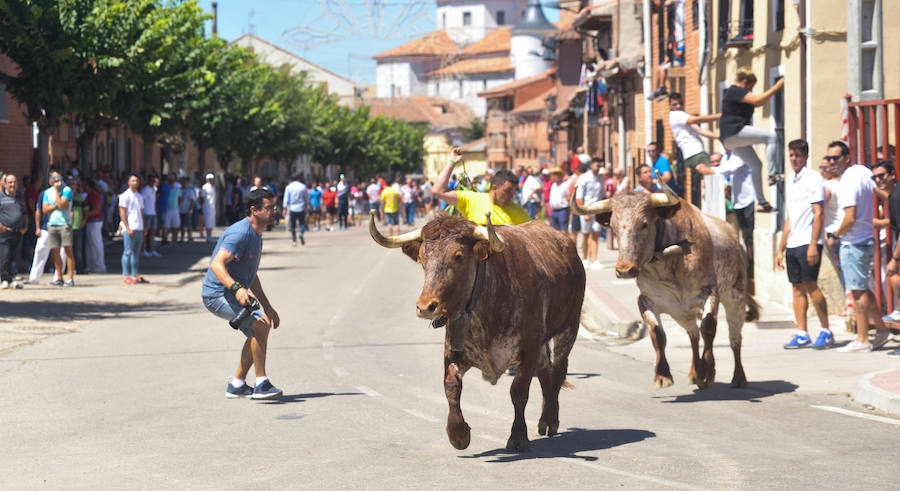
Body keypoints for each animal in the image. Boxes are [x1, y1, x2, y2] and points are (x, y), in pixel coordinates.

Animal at [370, 209, 588, 452]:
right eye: (422, 258)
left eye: (458, 256)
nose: (425, 307)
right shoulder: (454, 351)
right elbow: (451, 385)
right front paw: (458, 433)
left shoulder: (529, 348)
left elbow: (519, 392)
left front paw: (518, 437)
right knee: (545, 370)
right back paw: (544, 420)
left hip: (568, 326)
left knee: (558, 369)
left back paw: (550, 420)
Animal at [568, 186, 760, 390]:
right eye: (613, 226)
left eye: (644, 224)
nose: (624, 270)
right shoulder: (646, 299)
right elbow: (657, 334)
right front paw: (662, 375)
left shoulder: (710, 291)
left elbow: (709, 327)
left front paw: (708, 372)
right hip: (682, 312)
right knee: (693, 335)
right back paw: (695, 373)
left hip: (735, 298)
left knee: (734, 338)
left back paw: (738, 377)